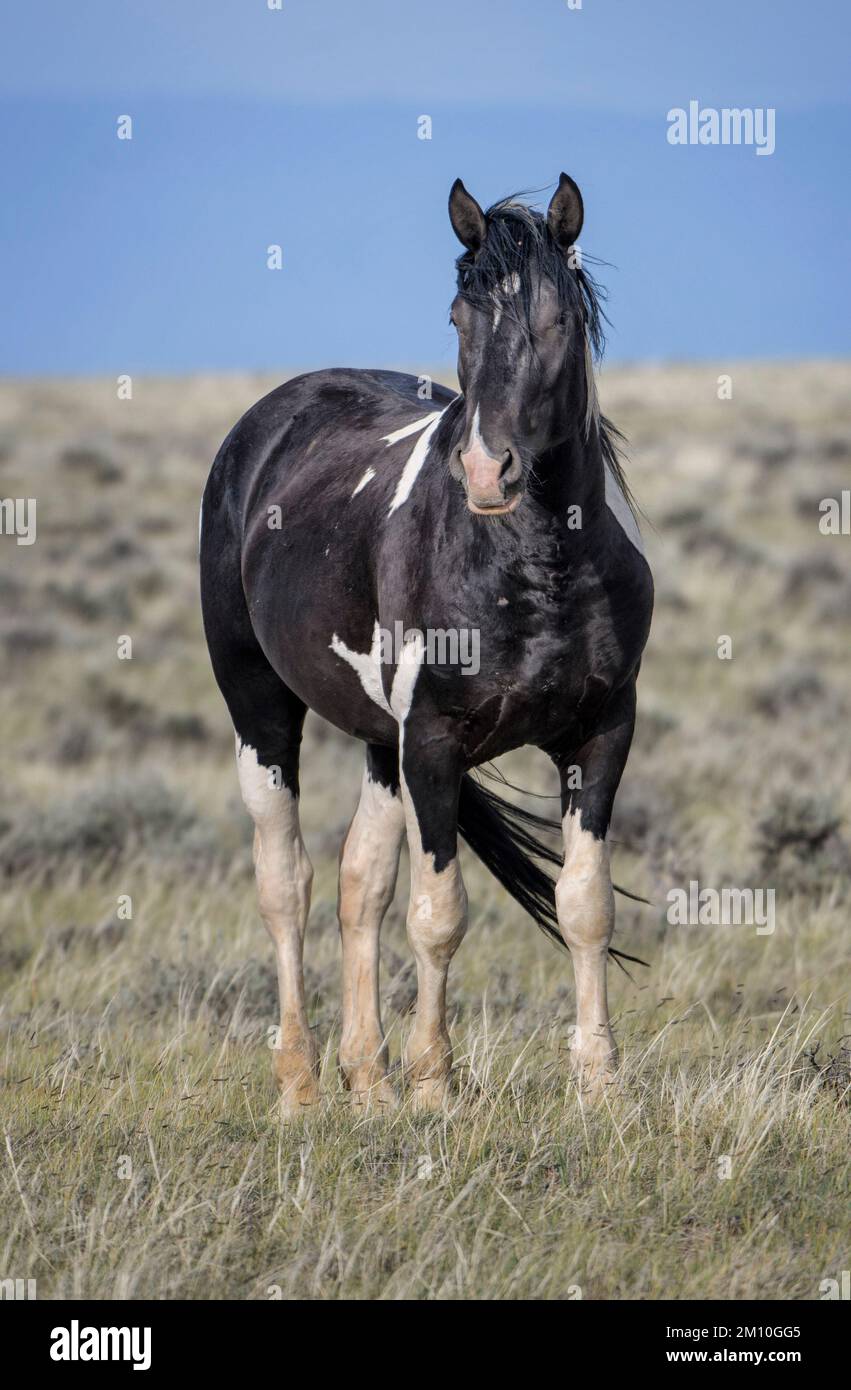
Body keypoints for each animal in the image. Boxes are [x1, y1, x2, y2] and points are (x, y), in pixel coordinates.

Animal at [200, 173, 653, 1114]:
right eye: (457, 315)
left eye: (560, 318)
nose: (486, 472)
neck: (537, 565)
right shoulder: (435, 744)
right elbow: (439, 914)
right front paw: (434, 1083)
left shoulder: (600, 734)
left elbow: (583, 903)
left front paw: (597, 1083)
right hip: (259, 706)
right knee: (285, 883)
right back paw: (300, 1084)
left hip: (381, 742)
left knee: (357, 888)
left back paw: (365, 1079)